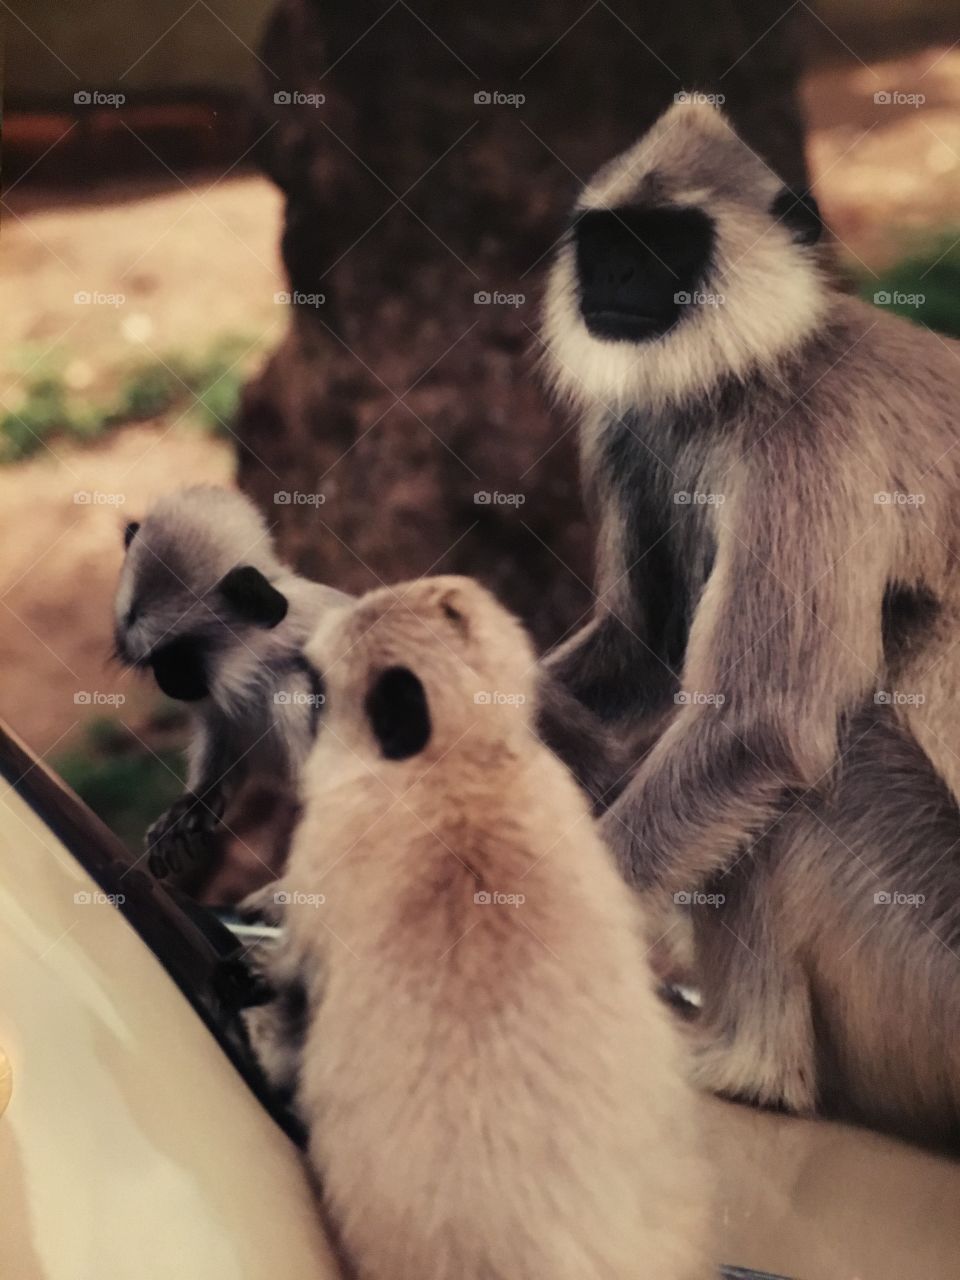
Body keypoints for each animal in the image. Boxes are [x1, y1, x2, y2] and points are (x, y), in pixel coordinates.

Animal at [539, 98, 960, 1149]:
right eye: (607, 242)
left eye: (665, 245)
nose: (614, 279)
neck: (747, 373)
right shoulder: (632, 425)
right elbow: (643, 650)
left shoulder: (814, 437)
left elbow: (754, 725)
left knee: (820, 766)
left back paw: (748, 1066)